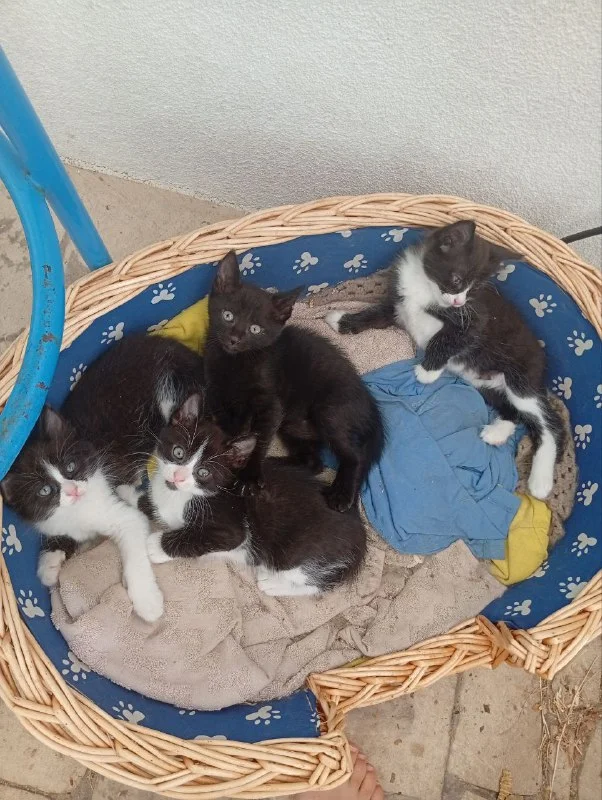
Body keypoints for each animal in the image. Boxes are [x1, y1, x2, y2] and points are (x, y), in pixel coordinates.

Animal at [0, 334, 205, 621]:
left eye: (71, 466)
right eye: (44, 490)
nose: (73, 490)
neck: (77, 511)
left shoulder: (122, 512)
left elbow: (134, 543)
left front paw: (147, 602)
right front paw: (51, 561)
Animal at [141, 393, 367, 596]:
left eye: (203, 472)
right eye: (178, 452)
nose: (178, 477)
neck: (179, 496)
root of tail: (360, 535)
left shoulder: (231, 530)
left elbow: (196, 538)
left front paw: (155, 545)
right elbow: (147, 503)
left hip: (294, 554)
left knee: (316, 582)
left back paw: (273, 584)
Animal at [204, 250, 385, 511]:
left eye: (255, 329)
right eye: (228, 316)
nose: (234, 339)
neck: (237, 362)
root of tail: (370, 402)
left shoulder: (271, 404)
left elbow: (259, 438)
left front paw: (249, 475)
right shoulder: (217, 394)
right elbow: (230, 427)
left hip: (330, 411)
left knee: (355, 455)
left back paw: (341, 494)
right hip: (293, 424)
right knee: (314, 462)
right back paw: (277, 464)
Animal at [326, 220, 564, 500]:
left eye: (475, 288)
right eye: (457, 280)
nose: (460, 301)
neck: (426, 288)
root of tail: (541, 359)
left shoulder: (475, 320)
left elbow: (448, 338)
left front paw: (427, 371)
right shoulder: (399, 303)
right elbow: (376, 315)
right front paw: (341, 320)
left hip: (520, 376)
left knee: (549, 423)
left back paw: (540, 480)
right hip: (484, 383)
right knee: (513, 412)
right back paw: (497, 432)